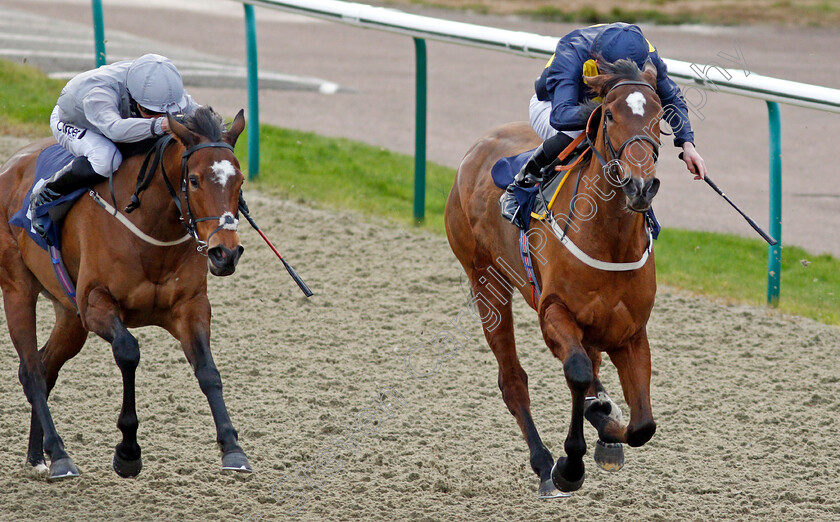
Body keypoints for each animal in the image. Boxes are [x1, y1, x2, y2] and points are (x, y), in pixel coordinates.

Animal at [0, 105, 251, 480]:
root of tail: (10, 166)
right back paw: (59, 454)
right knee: (31, 371)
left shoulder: (190, 307)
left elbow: (208, 370)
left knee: (45, 367)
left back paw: (37, 456)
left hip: (69, 316)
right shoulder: (95, 304)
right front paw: (128, 452)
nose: (226, 253)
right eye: (194, 180)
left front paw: (233, 448)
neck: (152, 229)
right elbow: (129, 352)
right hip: (18, 288)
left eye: (240, 181)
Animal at [442, 61, 668, 496]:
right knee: (513, 379)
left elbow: (642, 425)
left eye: (659, 115)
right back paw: (544, 462)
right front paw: (570, 464)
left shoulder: (631, 332)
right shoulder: (554, 313)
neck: (609, 241)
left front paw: (608, 429)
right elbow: (577, 372)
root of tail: (476, 149)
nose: (640, 185)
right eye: (609, 115)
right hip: (485, 280)